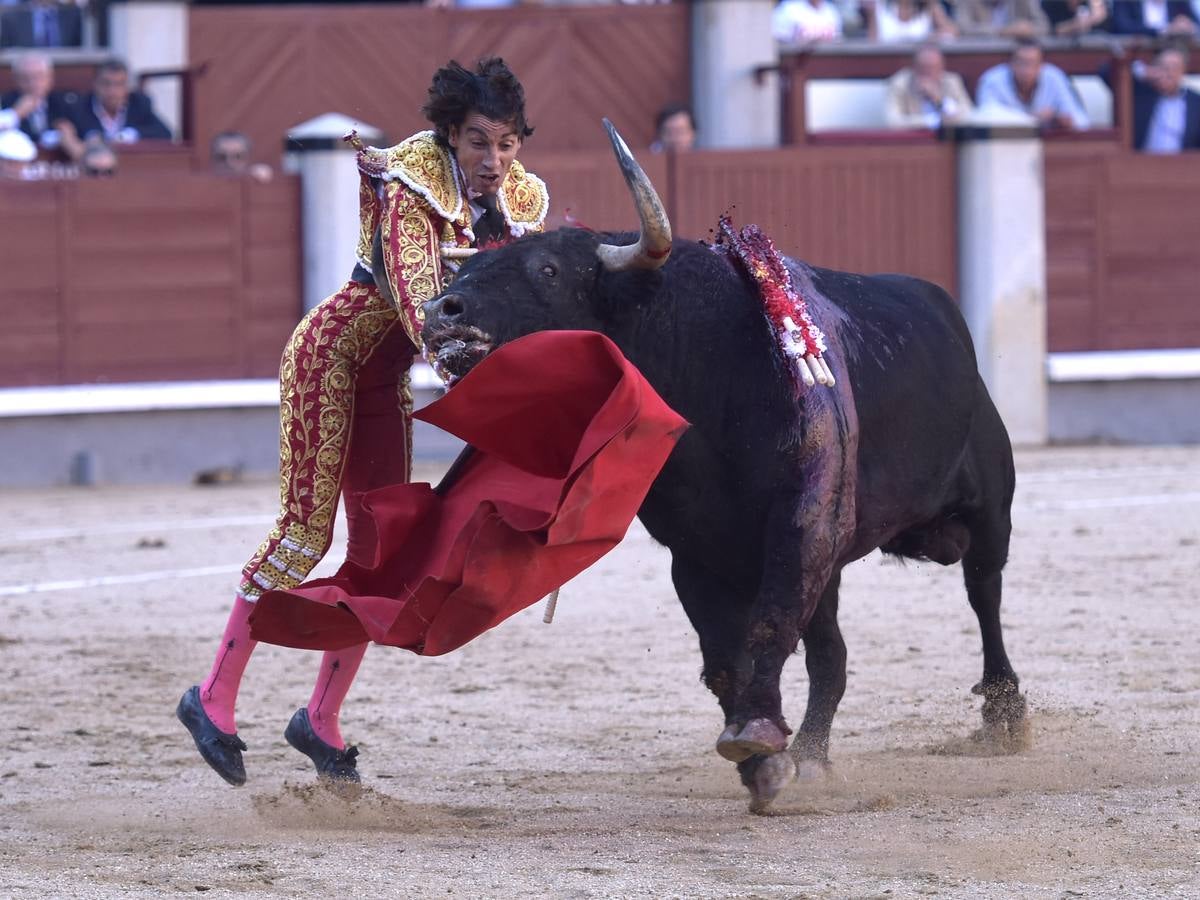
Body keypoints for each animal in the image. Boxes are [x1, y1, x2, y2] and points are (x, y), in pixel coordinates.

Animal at [410, 130, 1022, 816]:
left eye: (548, 270)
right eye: (461, 270)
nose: (442, 310)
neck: (700, 375)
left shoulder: (802, 522)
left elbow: (768, 624)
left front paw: (756, 735)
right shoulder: (695, 552)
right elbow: (726, 656)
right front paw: (762, 763)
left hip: (989, 510)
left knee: (984, 593)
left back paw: (1005, 716)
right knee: (832, 655)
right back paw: (812, 756)